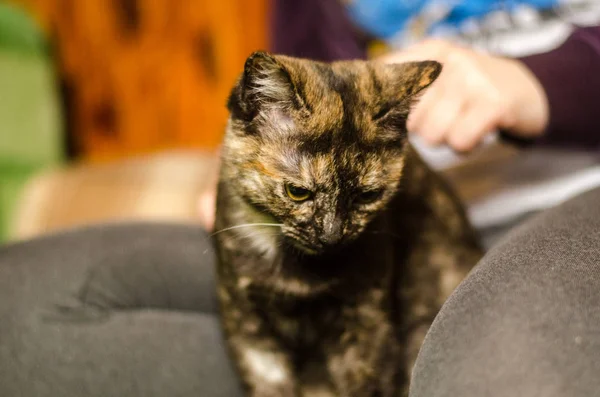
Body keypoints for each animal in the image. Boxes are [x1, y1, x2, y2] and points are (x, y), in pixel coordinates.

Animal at [213, 52, 480, 396]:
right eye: (297, 192)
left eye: (367, 195)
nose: (331, 235)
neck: (297, 274)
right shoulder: (245, 324)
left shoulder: (367, 321)